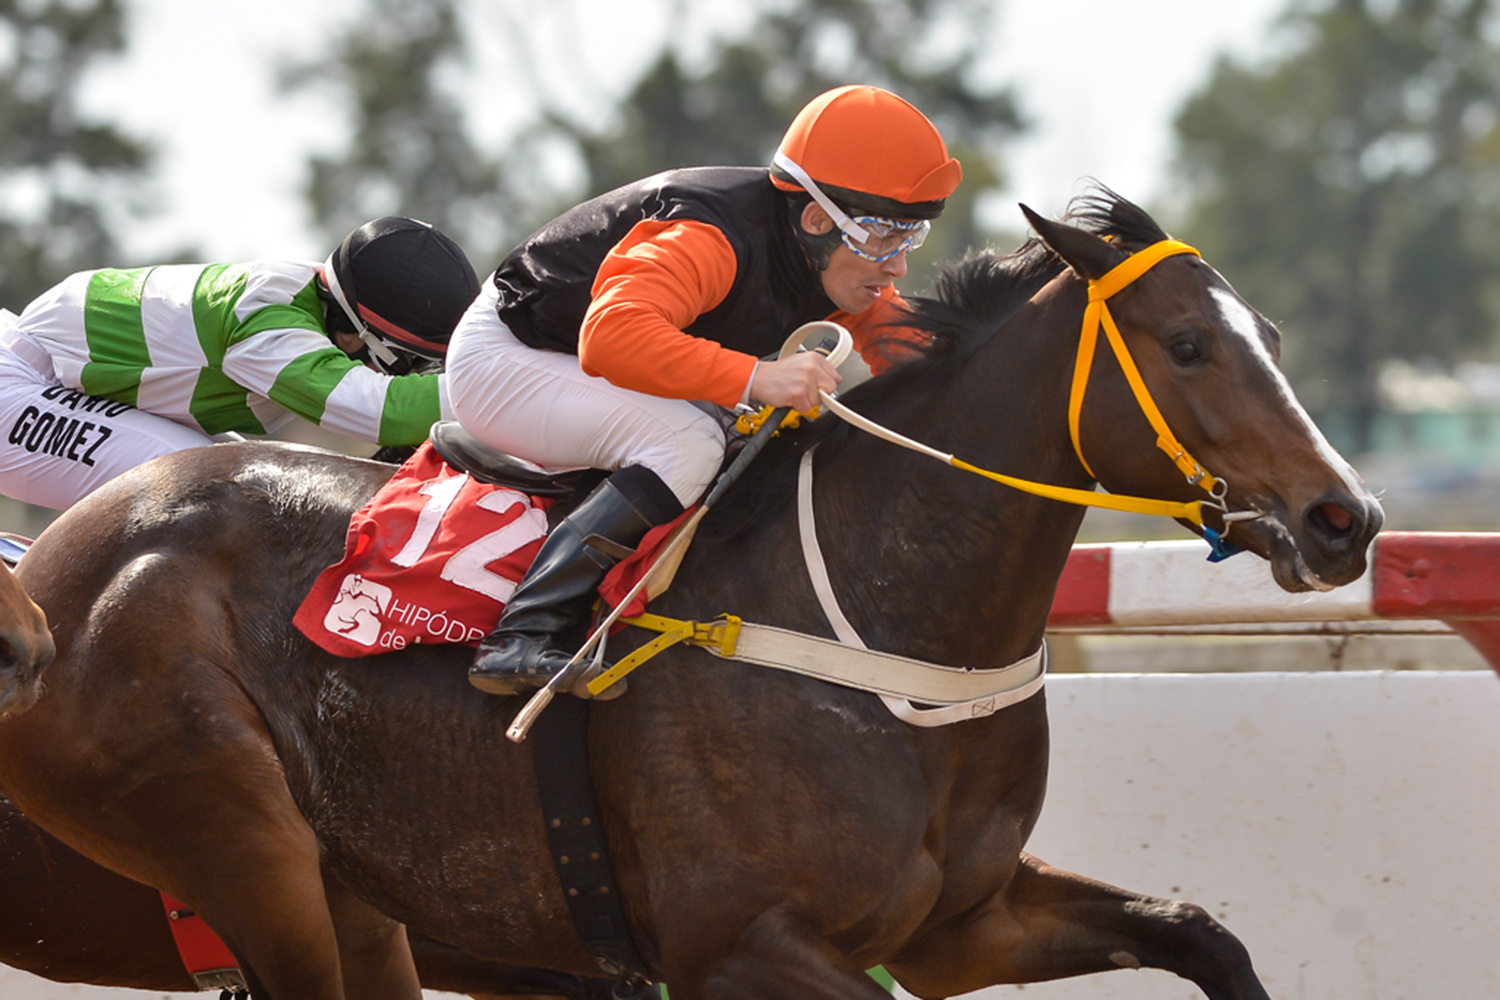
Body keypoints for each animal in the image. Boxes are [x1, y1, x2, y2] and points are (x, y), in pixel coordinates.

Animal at [0, 191, 1382, 1000]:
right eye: (1188, 346)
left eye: (1265, 330)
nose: (1346, 518)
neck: (879, 632)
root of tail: (62, 576)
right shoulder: (743, 946)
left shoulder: (956, 924)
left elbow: (1202, 931)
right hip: (240, 846)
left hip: (358, 901)